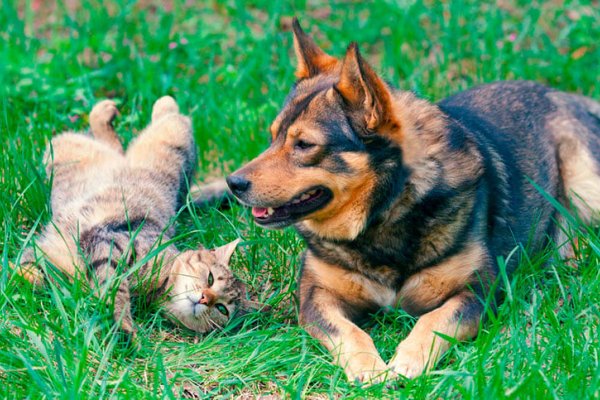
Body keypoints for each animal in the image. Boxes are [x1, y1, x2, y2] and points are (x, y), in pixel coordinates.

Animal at [15, 96, 247, 334]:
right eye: (210, 278)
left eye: (221, 308)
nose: (205, 298)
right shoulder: (108, 241)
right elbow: (113, 289)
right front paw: (124, 326)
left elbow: (32, 274)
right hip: (171, 139)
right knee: (167, 116)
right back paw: (139, 105)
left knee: (114, 145)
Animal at [220, 18, 600, 382]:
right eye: (273, 137)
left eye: (304, 145)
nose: (233, 183)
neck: (383, 216)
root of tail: (561, 93)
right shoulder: (316, 296)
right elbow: (350, 332)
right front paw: (369, 368)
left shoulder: (479, 292)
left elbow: (433, 322)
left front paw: (405, 364)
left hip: (586, 185)